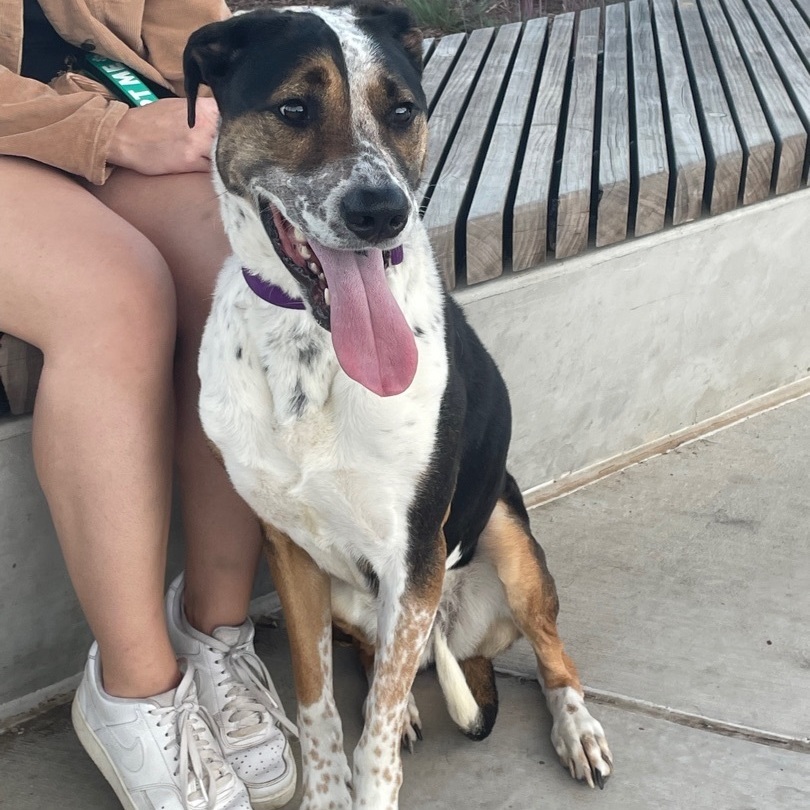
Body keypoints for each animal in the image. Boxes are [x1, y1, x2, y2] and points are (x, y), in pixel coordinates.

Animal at [185, 3, 612, 804]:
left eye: (403, 111)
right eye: (294, 108)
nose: (381, 211)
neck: (312, 350)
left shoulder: (413, 551)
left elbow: (375, 733)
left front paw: (374, 775)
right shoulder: (288, 551)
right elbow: (320, 702)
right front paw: (327, 788)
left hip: (503, 540)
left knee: (548, 650)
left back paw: (577, 727)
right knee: (381, 657)